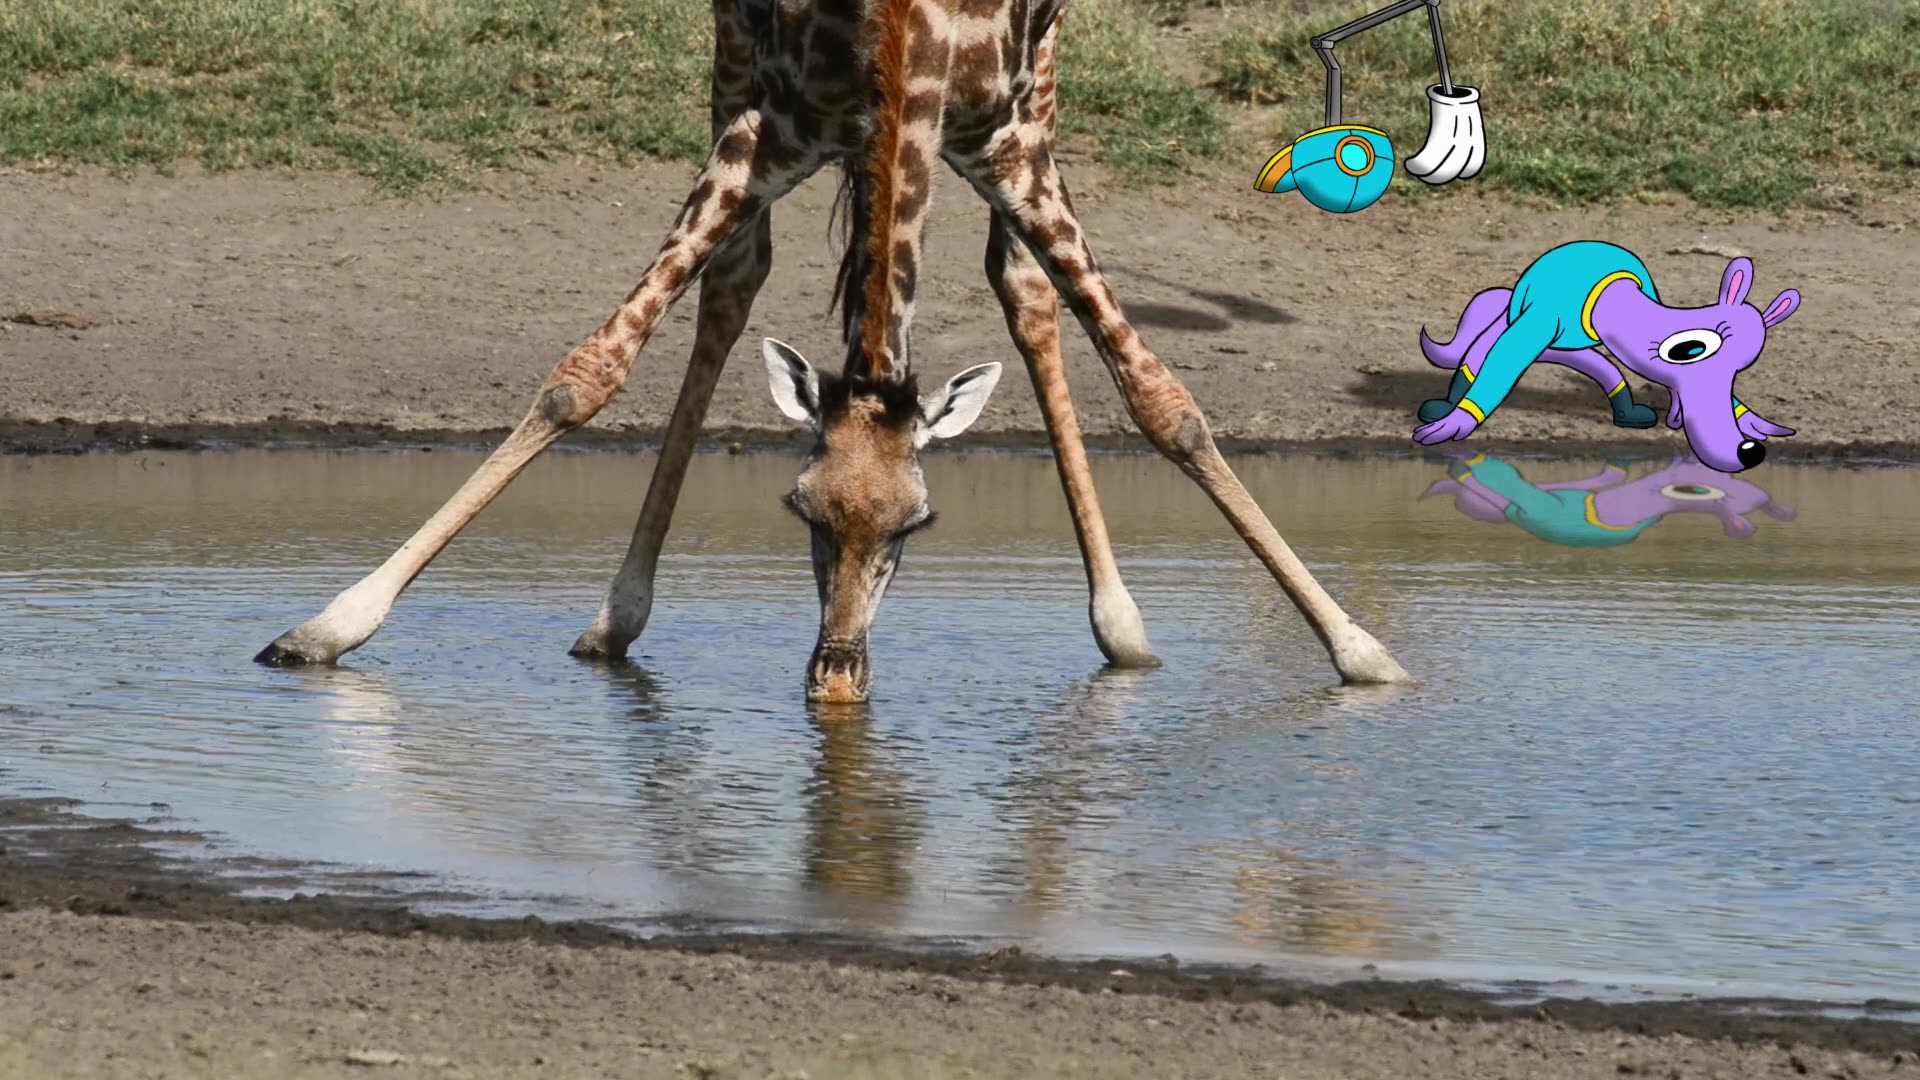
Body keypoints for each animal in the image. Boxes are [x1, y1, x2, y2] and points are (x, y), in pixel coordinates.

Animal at [254, 0, 1414, 702]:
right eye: (802, 511)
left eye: (918, 525)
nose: (838, 682)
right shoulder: (768, 128)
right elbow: (586, 374)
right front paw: (329, 624)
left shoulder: (1008, 144)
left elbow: (1162, 396)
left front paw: (1362, 652)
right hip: (738, 68)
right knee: (735, 282)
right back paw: (617, 618)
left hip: (1037, 89)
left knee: (1026, 290)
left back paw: (1122, 625)